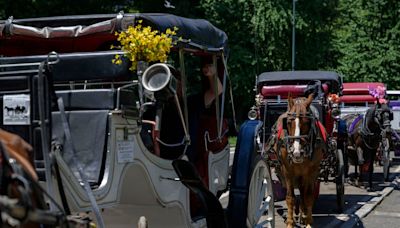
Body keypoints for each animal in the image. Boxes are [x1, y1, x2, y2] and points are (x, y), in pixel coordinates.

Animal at [274, 93, 326, 227]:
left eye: (307, 122)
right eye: (288, 122)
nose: (296, 152)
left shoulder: (311, 171)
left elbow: (308, 196)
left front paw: (308, 222)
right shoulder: (287, 171)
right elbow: (290, 197)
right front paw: (290, 222)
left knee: (303, 194)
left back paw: (304, 215)